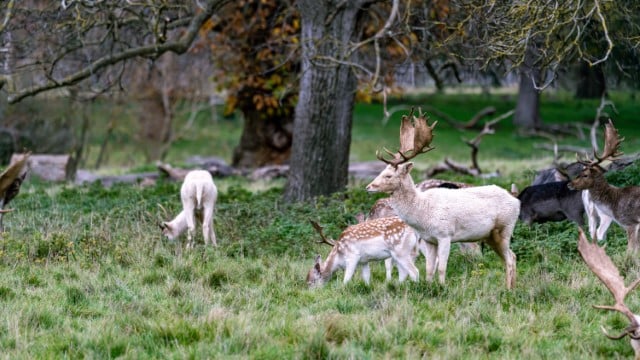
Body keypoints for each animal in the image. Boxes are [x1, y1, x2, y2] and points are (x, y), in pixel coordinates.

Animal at [364, 109, 520, 290]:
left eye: (388, 175)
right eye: (381, 171)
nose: (368, 187)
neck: (423, 212)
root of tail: (516, 199)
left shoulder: (445, 235)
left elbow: (442, 267)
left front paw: (443, 288)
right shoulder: (428, 239)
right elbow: (429, 268)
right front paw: (428, 287)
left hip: (505, 228)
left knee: (510, 258)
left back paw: (508, 290)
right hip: (490, 236)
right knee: (512, 256)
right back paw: (510, 288)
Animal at [568, 119, 640, 252]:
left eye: (585, 174)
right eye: (580, 171)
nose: (569, 184)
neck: (614, 202)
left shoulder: (631, 222)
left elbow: (631, 250)